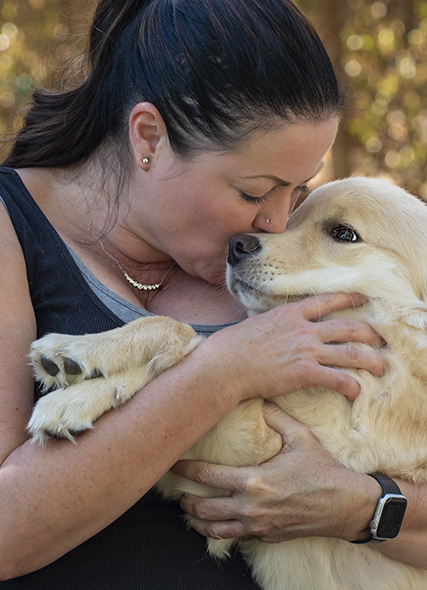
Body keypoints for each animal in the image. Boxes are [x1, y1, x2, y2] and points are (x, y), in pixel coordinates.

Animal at [28, 179, 427, 590]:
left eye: (344, 234)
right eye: (291, 221)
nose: (236, 245)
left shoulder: (253, 450)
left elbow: (182, 333)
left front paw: (78, 358)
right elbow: (195, 349)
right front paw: (79, 379)